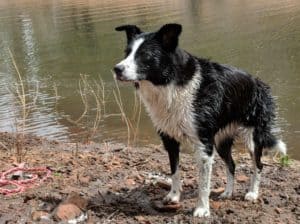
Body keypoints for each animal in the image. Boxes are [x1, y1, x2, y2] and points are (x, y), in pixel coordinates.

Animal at [113, 24, 288, 217]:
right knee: (232, 165)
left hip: (253, 138)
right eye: (127, 52)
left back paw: (252, 193)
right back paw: (228, 192)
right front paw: (174, 196)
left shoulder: (204, 144)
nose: (117, 69)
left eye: (145, 55)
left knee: (258, 165)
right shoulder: (169, 139)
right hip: (221, 141)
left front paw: (202, 209)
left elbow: (203, 184)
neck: (171, 83)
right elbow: (174, 171)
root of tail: (259, 83)